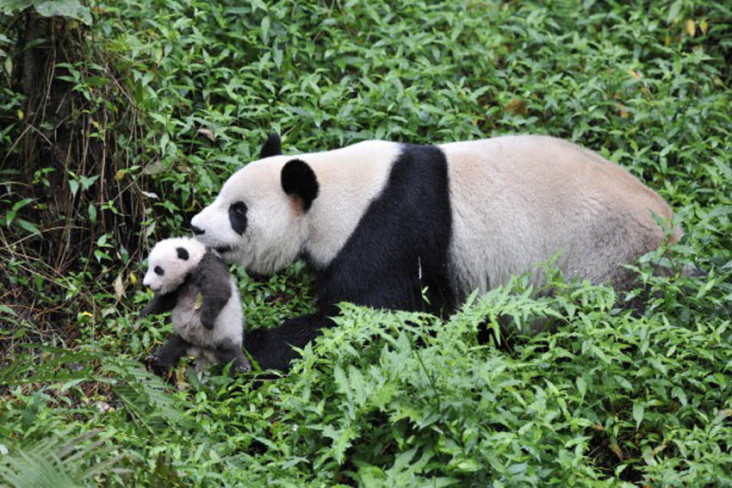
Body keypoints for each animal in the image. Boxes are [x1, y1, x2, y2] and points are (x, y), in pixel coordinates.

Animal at [140, 237, 251, 374]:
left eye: (158, 270)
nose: (146, 284)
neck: (194, 260)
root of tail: (202, 351)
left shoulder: (208, 265)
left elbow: (219, 290)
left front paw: (206, 321)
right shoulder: (180, 285)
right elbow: (166, 301)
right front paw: (144, 313)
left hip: (224, 335)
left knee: (232, 353)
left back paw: (242, 368)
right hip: (183, 337)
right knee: (171, 348)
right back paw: (156, 361)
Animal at [190, 134, 679, 371]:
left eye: (238, 212)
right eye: (221, 197)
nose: (195, 227)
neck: (339, 192)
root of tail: (673, 234)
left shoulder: (393, 230)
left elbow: (371, 317)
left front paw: (241, 348)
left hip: (603, 262)